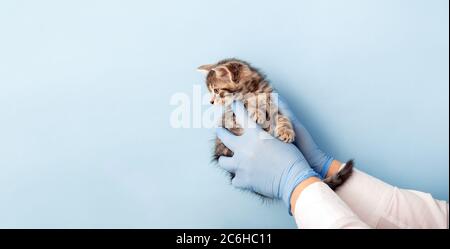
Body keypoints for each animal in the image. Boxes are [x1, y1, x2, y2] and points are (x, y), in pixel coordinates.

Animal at [199, 58, 354, 191]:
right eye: (211, 91)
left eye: (216, 90)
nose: (211, 102)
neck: (253, 90)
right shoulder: (234, 115)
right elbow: (247, 105)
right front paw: (256, 111)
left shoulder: (275, 104)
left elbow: (283, 118)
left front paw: (286, 132)